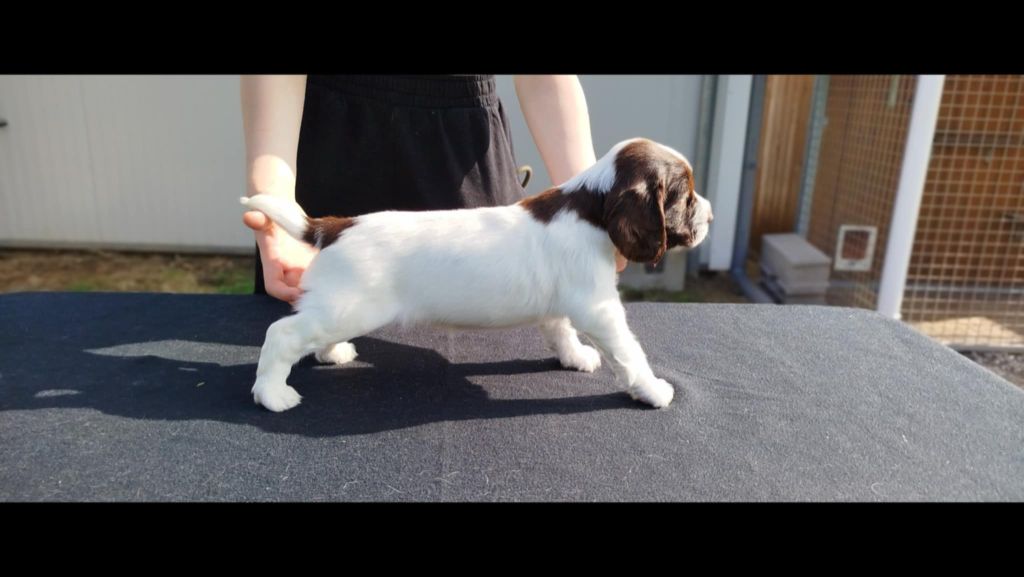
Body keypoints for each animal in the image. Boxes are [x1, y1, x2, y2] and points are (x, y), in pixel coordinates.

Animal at [241, 137, 713, 412]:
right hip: (348, 308)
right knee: (282, 334)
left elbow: (560, 331)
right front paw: (653, 390)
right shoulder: (599, 309)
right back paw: (272, 394)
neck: (591, 206)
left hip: (340, 307)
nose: (710, 215)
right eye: (686, 195)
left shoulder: (562, 305)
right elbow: (630, 353)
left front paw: (575, 357)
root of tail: (338, 225)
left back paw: (333, 353)